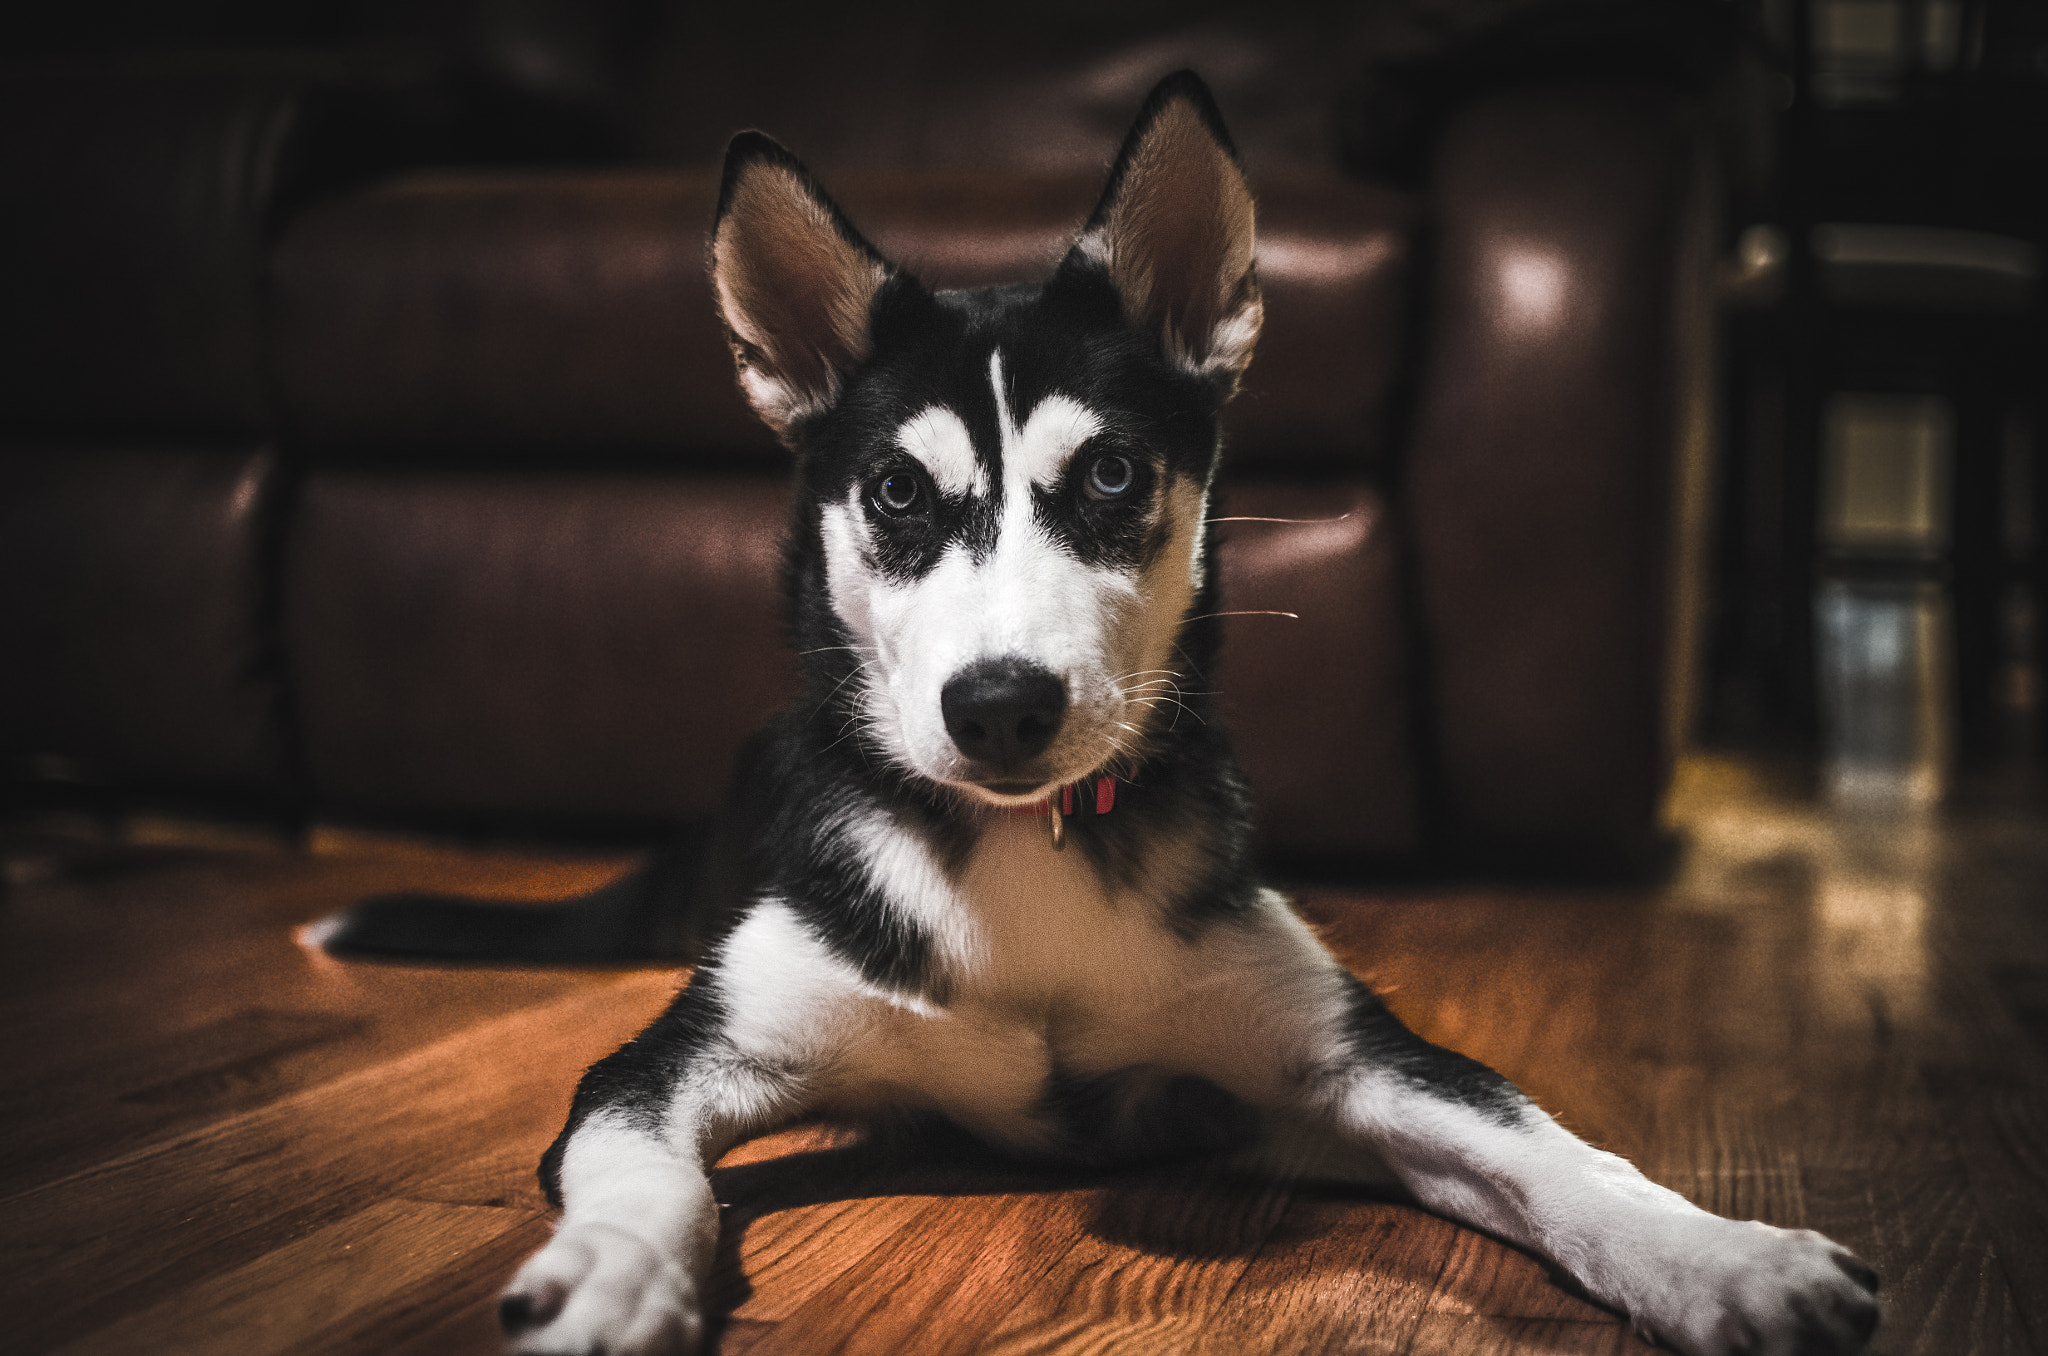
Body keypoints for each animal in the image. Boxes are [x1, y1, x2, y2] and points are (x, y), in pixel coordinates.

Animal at [491, 71, 1875, 1356]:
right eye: (893, 491)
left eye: (1110, 472)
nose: (1000, 708)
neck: (1025, 858)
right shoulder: (673, 1058)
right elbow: (638, 1157)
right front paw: (611, 1272)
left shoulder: (1327, 1063)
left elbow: (1546, 1149)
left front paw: (1720, 1258)